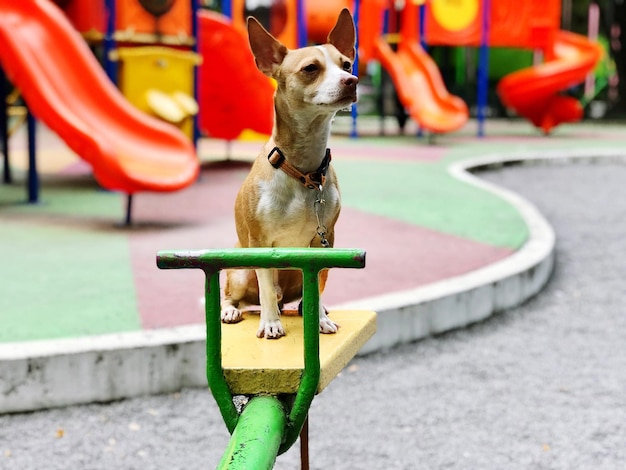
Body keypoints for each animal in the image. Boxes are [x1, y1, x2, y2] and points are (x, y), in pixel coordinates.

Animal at [218, 7, 356, 338]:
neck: (303, 171)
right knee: (236, 294)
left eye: (346, 64)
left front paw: (319, 318)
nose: (352, 80)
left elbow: (318, 286)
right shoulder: (259, 242)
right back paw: (233, 310)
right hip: (240, 272)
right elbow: (267, 289)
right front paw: (270, 324)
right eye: (311, 68)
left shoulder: (325, 240)